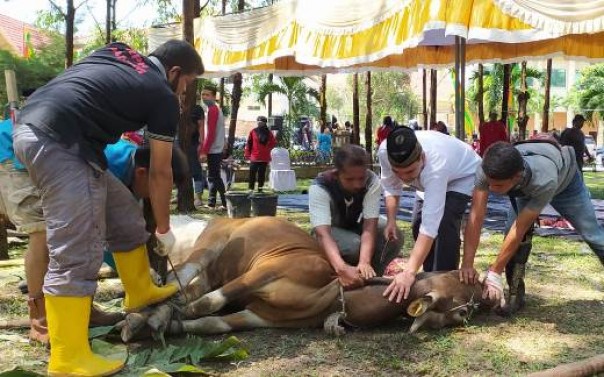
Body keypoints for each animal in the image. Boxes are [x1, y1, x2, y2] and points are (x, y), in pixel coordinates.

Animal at [120, 214, 494, 338]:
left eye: (464, 312)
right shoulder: (266, 270)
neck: (331, 292)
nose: (489, 293)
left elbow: (211, 322)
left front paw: (171, 325)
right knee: (182, 280)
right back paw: (139, 314)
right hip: (209, 245)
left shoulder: (259, 317)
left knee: (183, 286)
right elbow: (207, 304)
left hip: (211, 268)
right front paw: (160, 319)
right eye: (458, 277)